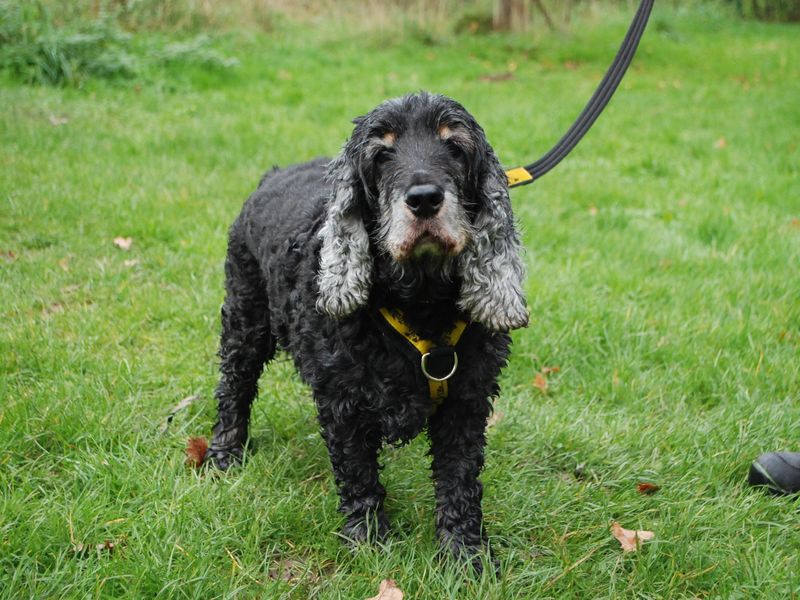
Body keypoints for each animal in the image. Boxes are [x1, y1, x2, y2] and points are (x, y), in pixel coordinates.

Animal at [206, 91, 528, 568]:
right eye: (381, 155)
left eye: (454, 146)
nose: (424, 199)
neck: (420, 303)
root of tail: (274, 173)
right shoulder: (343, 401)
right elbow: (357, 472)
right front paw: (368, 539)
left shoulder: (466, 399)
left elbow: (460, 479)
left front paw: (464, 552)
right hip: (246, 317)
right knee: (234, 386)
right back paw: (224, 453)